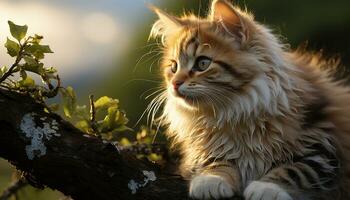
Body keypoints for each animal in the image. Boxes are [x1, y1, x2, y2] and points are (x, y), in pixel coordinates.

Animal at [148, 0, 350, 199]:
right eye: (173, 67)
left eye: (202, 63)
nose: (174, 83)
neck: (234, 111)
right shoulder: (204, 151)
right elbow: (214, 161)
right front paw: (211, 181)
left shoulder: (323, 148)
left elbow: (295, 170)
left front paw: (267, 187)